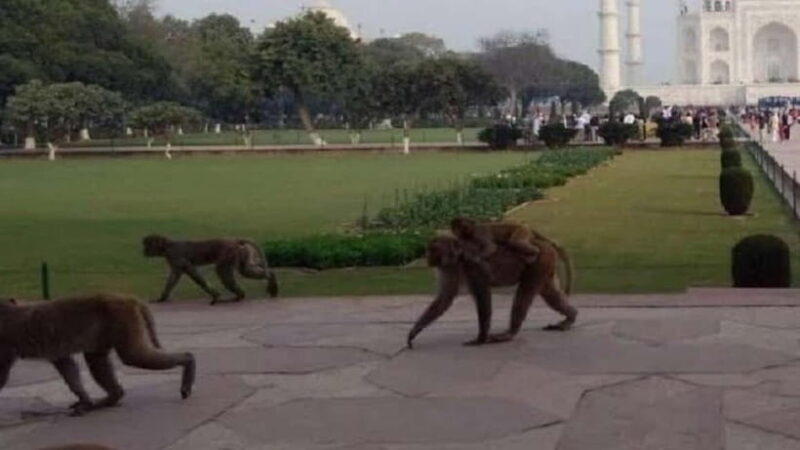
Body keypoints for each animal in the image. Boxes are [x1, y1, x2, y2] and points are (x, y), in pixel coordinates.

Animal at [0, 294, 195, 416]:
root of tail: (127, 298)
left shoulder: (4, 343)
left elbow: (1, 377)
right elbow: (65, 364)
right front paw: (84, 400)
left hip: (122, 319)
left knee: (132, 356)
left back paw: (188, 359)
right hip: (108, 330)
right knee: (96, 359)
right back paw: (112, 397)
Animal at [142, 234, 279, 305]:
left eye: (147, 245)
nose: (144, 251)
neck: (167, 247)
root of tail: (234, 240)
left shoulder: (175, 255)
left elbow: (192, 273)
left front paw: (215, 296)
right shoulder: (173, 260)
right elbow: (174, 277)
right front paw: (162, 298)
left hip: (229, 253)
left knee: (222, 270)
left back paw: (239, 295)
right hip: (241, 253)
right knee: (245, 270)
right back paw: (271, 277)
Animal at [407, 233, 577, 348]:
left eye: (433, 249)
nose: (427, 256)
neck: (458, 257)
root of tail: (544, 243)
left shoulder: (473, 266)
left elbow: (483, 296)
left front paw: (481, 338)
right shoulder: (449, 268)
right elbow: (444, 299)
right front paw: (413, 333)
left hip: (540, 261)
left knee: (524, 293)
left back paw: (510, 333)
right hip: (546, 264)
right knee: (550, 294)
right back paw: (571, 316)